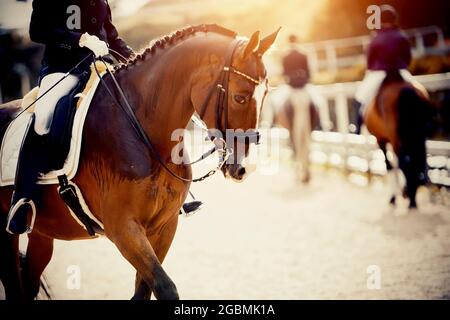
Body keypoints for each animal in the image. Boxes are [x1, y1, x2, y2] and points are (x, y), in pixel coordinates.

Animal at [0, 25, 280, 300]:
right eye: (240, 97)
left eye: (266, 94)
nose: (246, 168)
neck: (146, 134)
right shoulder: (123, 229)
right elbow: (166, 288)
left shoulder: (164, 226)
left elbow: (145, 290)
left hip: (42, 232)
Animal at [366, 71, 432, 209]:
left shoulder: (381, 140)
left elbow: (390, 166)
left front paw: (394, 198)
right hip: (417, 138)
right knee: (417, 161)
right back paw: (413, 196)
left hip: (399, 140)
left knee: (405, 163)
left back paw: (411, 199)